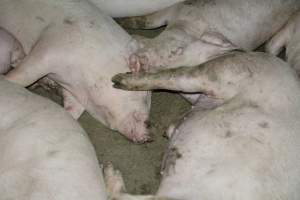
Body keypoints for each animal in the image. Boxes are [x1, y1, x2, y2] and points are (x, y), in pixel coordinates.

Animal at [1, 0, 152, 143]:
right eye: (144, 96)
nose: (149, 134)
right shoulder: (49, 50)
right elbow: (24, 75)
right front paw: (8, 82)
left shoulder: (73, 92)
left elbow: (73, 110)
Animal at [118, 0, 300, 73]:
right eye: (158, 38)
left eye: (177, 51)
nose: (137, 59)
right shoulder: (173, 10)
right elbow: (148, 21)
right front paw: (123, 22)